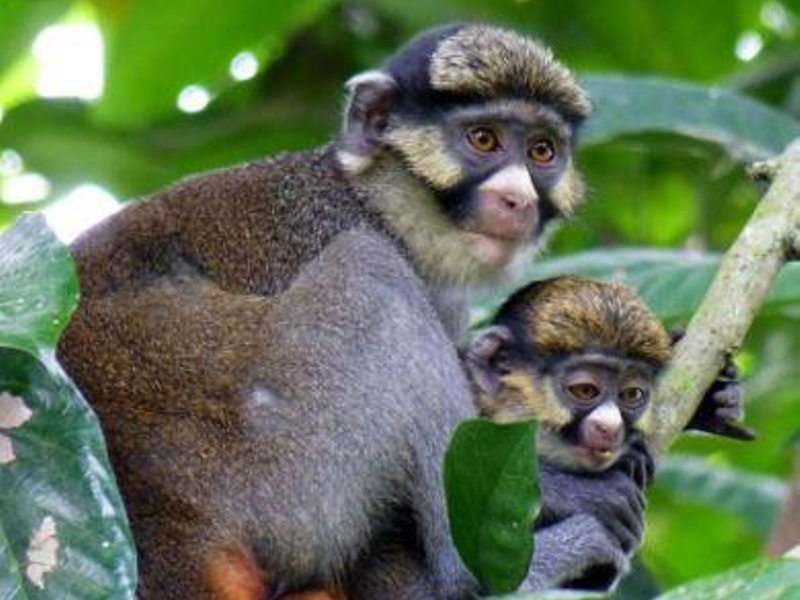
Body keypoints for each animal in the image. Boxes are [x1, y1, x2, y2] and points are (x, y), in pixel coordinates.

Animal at [57, 23, 655, 600]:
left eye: (541, 152)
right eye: (483, 140)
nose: (518, 198)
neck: (378, 202)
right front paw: (562, 487)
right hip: (282, 488)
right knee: (371, 274)